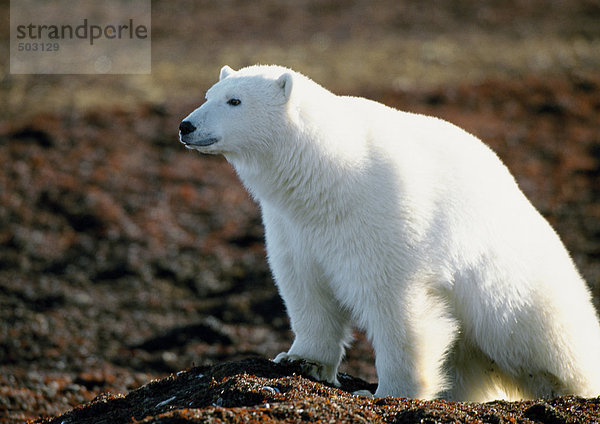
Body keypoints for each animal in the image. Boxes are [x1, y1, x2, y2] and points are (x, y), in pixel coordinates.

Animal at [180, 64, 600, 402]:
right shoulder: (291, 227)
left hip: (513, 285)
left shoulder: (384, 216)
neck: (330, 179)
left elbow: (396, 306)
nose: (186, 126)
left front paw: (388, 392)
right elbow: (305, 288)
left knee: (548, 338)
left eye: (234, 100)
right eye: (208, 95)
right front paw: (300, 360)